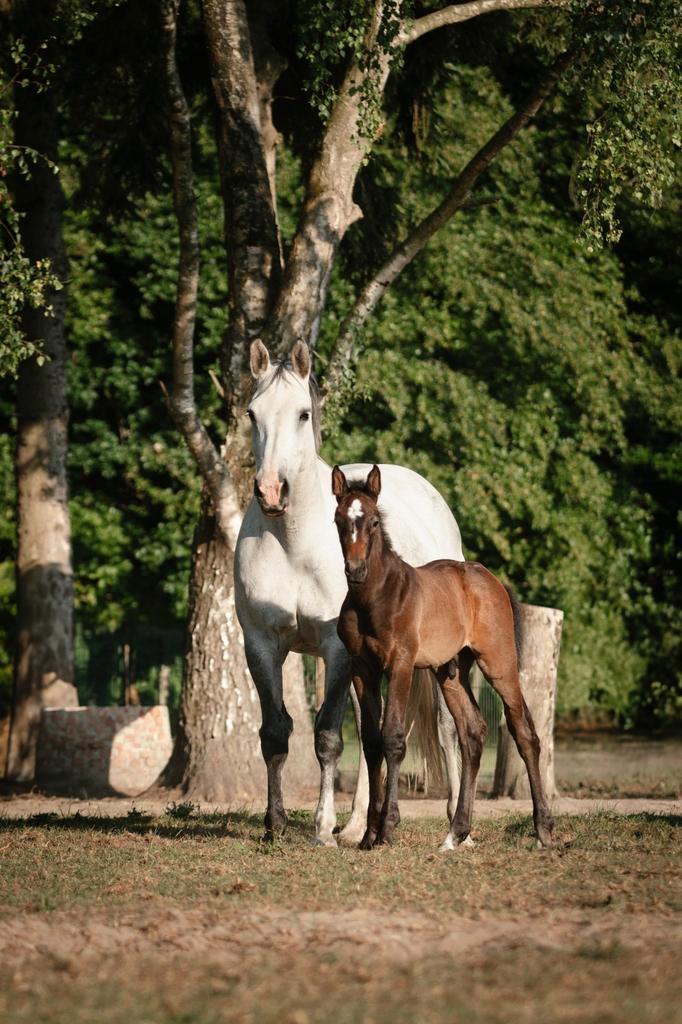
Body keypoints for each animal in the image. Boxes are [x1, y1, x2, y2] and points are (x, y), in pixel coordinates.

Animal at [234, 339, 464, 846]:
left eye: (303, 414)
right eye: (252, 413)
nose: (271, 492)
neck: (293, 543)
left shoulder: (335, 649)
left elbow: (327, 737)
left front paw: (320, 827)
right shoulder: (261, 646)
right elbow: (275, 733)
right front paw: (275, 825)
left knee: (447, 729)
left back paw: (458, 827)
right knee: (369, 730)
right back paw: (359, 825)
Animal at [332, 463, 555, 851]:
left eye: (374, 521)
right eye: (338, 519)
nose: (355, 570)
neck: (376, 598)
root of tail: (489, 578)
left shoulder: (401, 665)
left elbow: (393, 738)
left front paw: (387, 829)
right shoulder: (363, 668)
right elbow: (372, 742)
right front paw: (368, 835)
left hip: (499, 664)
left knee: (524, 732)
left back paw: (542, 830)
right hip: (451, 672)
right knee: (473, 733)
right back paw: (455, 833)